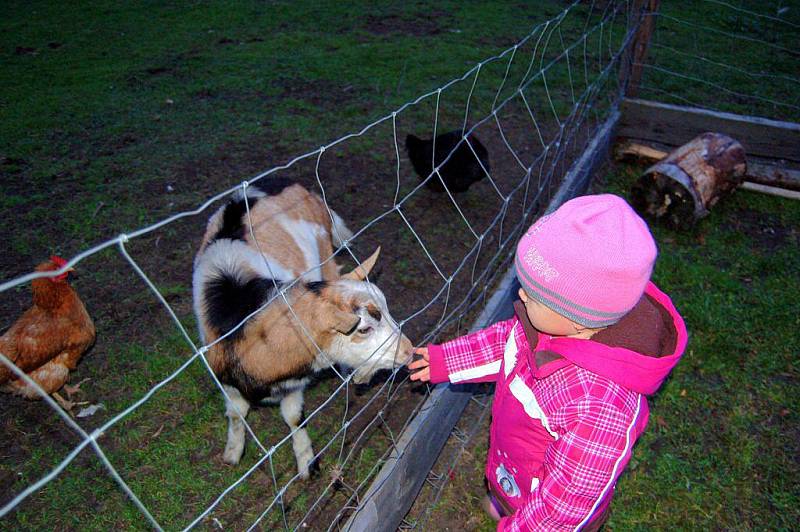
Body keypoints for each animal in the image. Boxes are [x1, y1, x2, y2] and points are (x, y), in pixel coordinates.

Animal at [193, 179, 412, 478]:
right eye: (364, 329)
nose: (409, 351)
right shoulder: (226, 378)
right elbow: (236, 414)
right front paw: (232, 453)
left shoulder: (293, 385)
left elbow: (294, 418)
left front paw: (307, 463)